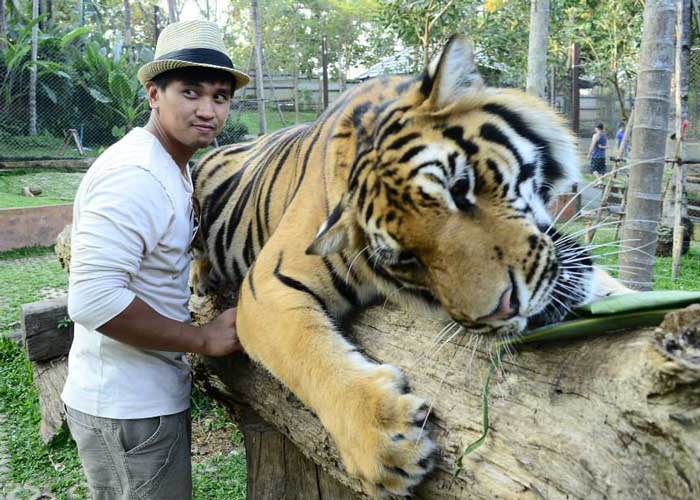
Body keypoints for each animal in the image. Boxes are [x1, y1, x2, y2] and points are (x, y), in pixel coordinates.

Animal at [189, 36, 628, 496]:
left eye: (461, 186)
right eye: (407, 258)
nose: (507, 308)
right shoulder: (265, 286)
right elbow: (305, 355)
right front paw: (383, 441)